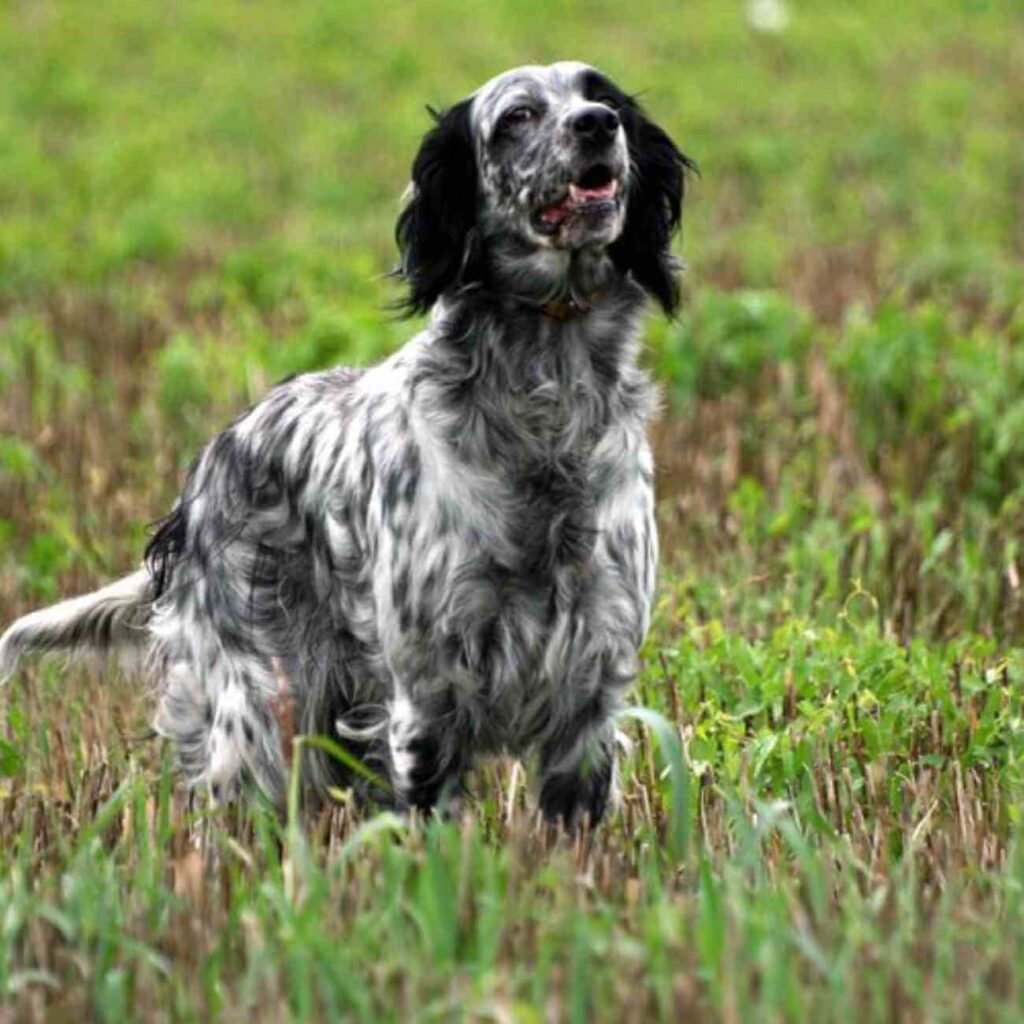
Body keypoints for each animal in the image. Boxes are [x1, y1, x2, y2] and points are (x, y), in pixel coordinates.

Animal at [0, 61, 696, 823]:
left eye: (601, 95)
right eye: (517, 116)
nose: (598, 124)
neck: (545, 404)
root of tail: (213, 459)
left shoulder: (592, 692)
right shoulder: (426, 698)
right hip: (257, 706)